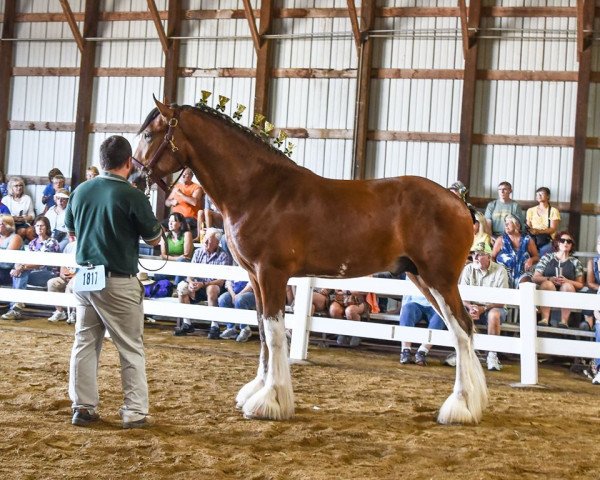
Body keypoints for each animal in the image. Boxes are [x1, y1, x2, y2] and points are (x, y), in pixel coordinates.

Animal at [132, 97, 488, 424]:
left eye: (149, 134)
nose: (134, 177)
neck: (260, 190)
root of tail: (459, 201)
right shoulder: (254, 277)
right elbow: (263, 331)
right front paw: (257, 390)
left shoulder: (271, 274)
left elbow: (275, 333)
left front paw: (271, 401)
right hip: (422, 278)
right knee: (464, 330)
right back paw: (473, 403)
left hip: (439, 279)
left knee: (461, 330)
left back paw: (460, 407)